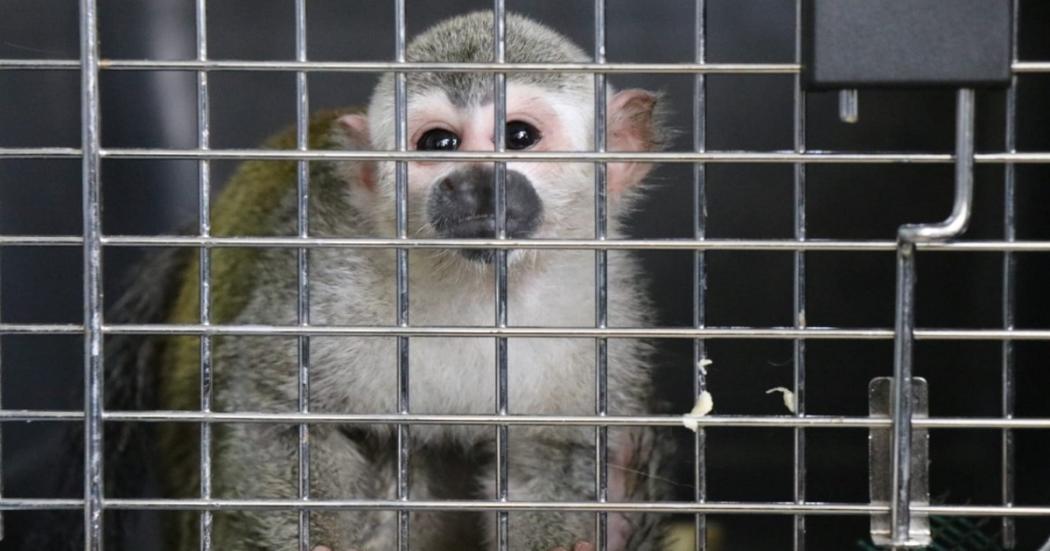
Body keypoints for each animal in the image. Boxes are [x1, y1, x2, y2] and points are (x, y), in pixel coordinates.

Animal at [100, 9, 672, 549]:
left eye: (519, 136)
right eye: (439, 142)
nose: (477, 184)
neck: (475, 286)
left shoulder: (604, 307)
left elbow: (555, 452)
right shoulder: (326, 273)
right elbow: (275, 418)